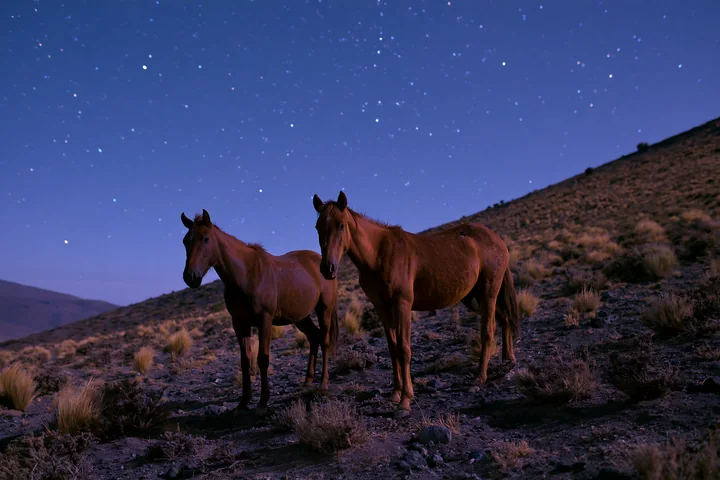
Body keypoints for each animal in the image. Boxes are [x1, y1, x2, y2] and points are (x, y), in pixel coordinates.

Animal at [180, 209, 339, 413]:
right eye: (186, 240)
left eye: (206, 238)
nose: (190, 277)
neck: (246, 275)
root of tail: (323, 263)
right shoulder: (240, 323)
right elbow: (245, 360)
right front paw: (243, 403)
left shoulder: (265, 320)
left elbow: (263, 358)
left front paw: (263, 402)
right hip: (301, 317)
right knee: (314, 337)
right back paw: (307, 382)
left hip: (324, 309)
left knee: (325, 340)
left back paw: (323, 383)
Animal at [312, 191, 519, 415]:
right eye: (318, 227)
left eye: (341, 225)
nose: (327, 269)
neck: (378, 255)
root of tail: (496, 238)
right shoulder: (382, 308)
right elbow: (392, 348)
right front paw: (395, 393)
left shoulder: (402, 304)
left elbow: (404, 349)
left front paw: (405, 401)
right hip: (475, 297)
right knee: (505, 319)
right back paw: (508, 361)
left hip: (489, 292)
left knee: (488, 330)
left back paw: (479, 378)